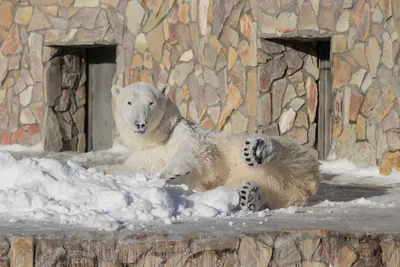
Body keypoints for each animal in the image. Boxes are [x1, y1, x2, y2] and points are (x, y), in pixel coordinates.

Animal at [98, 82, 320, 213]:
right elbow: (133, 166)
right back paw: (250, 194)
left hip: (275, 148)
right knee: (269, 191)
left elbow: (198, 153)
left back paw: (256, 150)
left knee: (285, 151)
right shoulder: (146, 155)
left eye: (151, 103)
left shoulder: (189, 137)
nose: (140, 123)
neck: (162, 137)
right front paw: (103, 169)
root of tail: (305, 185)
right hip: (258, 182)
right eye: (129, 102)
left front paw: (172, 172)